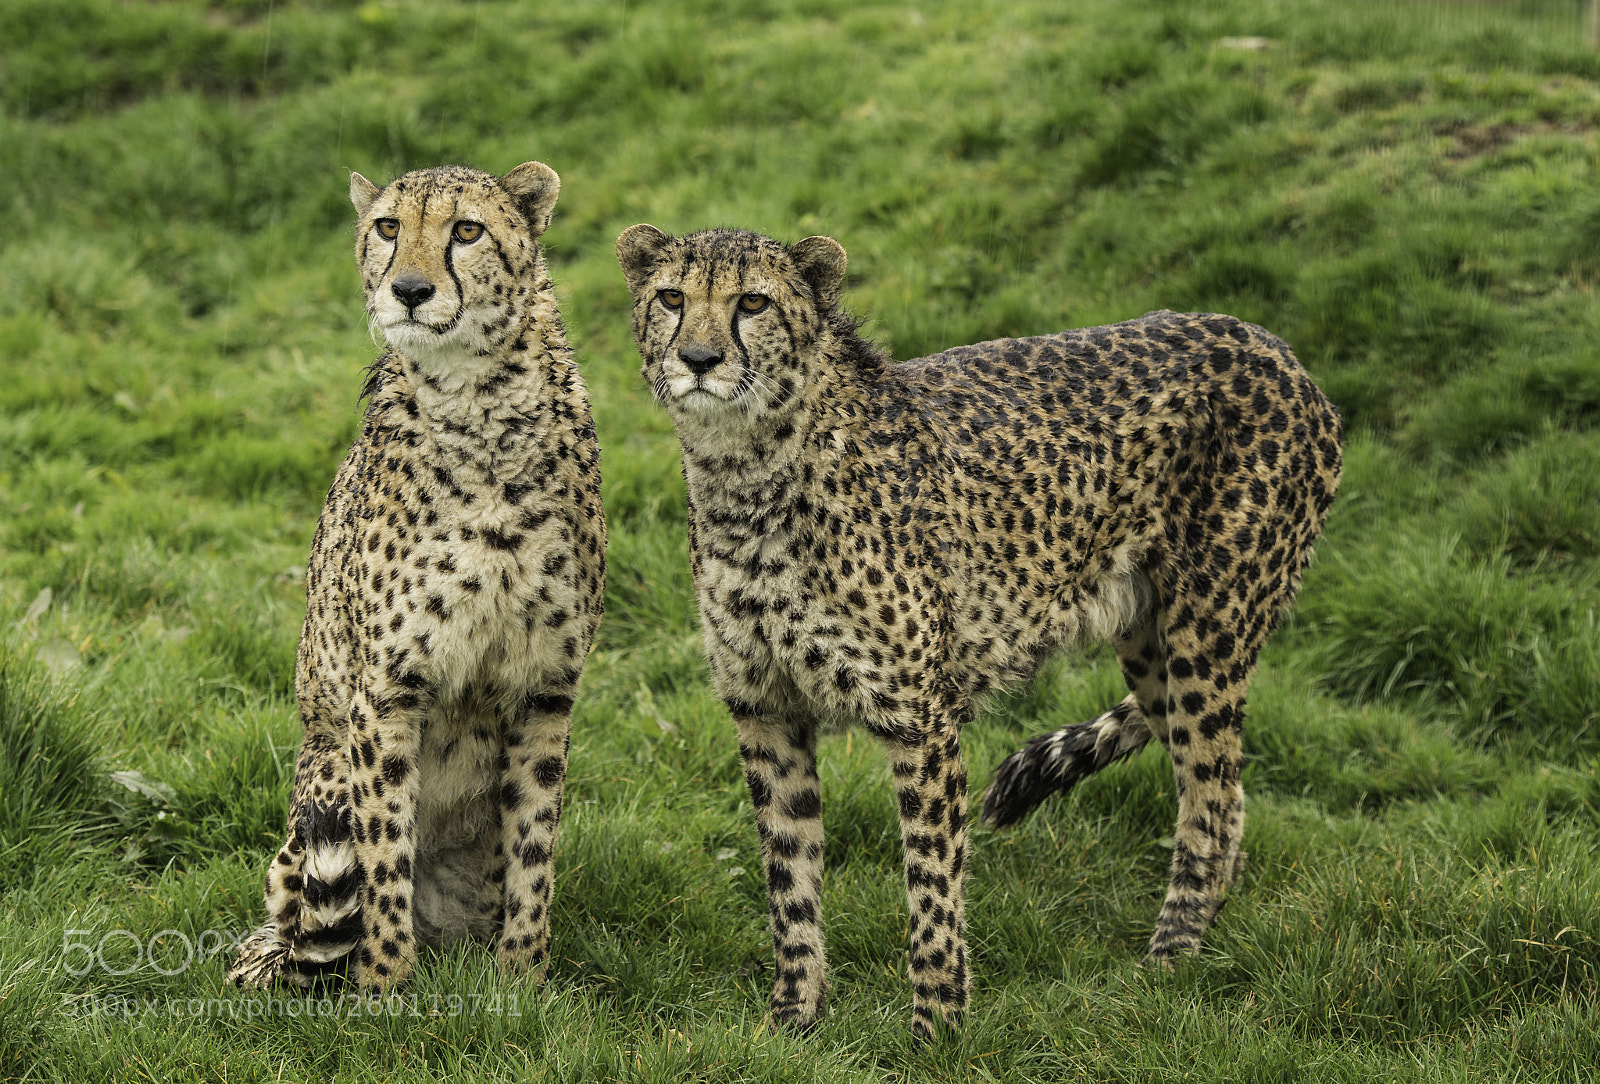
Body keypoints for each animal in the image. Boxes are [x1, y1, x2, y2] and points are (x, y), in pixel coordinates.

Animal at [228, 161, 605, 991]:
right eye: (388, 227)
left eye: (466, 230)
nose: (407, 290)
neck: (481, 410)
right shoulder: (388, 688)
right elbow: (383, 849)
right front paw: (385, 989)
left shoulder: (546, 684)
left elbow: (534, 844)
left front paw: (523, 978)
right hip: (318, 783)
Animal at [615, 224, 1342, 1038]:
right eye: (671, 297)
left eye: (752, 303)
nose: (698, 358)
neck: (747, 473)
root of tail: (1272, 344)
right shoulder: (765, 712)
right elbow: (789, 876)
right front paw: (792, 1019)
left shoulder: (922, 719)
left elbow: (932, 883)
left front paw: (936, 1029)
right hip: (1153, 644)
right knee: (1222, 787)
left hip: (1207, 638)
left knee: (1209, 800)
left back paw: (1172, 956)